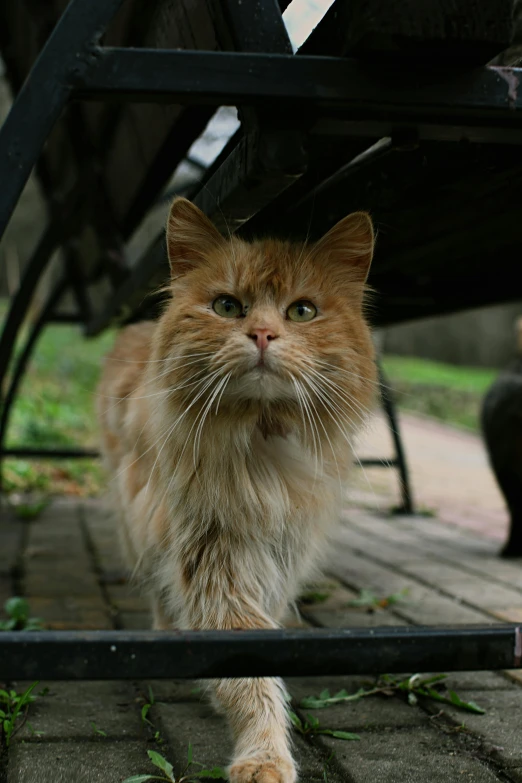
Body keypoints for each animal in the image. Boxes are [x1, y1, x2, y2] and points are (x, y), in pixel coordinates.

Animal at [96, 198, 374, 783]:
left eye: (302, 312)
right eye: (227, 306)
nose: (263, 335)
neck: (262, 443)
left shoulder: (282, 550)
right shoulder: (214, 562)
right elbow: (252, 680)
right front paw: (264, 756)